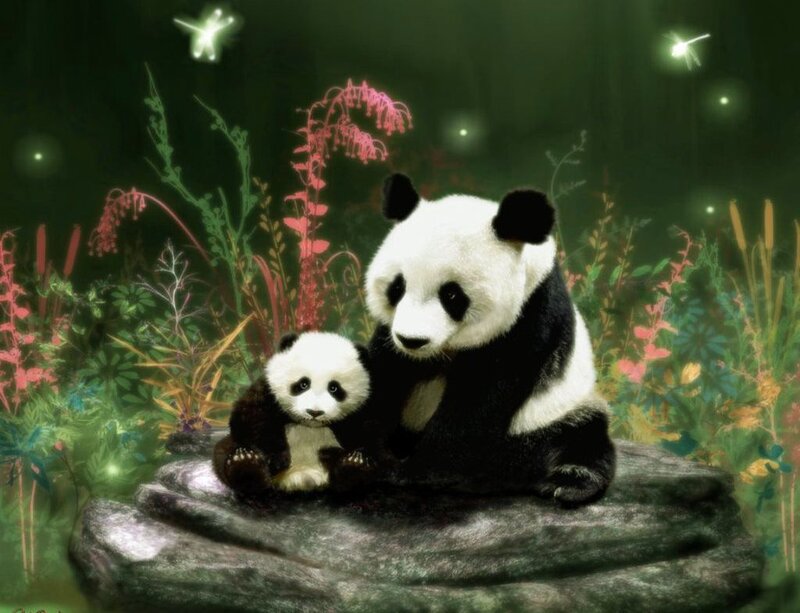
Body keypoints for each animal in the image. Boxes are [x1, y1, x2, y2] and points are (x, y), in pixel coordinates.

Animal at [212, 332, 376, 495]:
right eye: (303, 384)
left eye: (334, 388)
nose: (314, 412)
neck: (309, 425)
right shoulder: (268, 390)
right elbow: (251, 416)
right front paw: (276, 458)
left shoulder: (361, 409)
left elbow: (365, 433)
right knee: (224, 451)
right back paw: (246, 466)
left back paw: (353, 468)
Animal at [363, 173, 616, 506]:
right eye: (397, 287)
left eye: (452, 295)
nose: (412, 340)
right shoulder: (390, 333)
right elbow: (383, 371)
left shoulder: (529, 317)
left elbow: (480, 396)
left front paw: (415, 472)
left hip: (557, 410)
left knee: (584, 434)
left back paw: (571, 481)